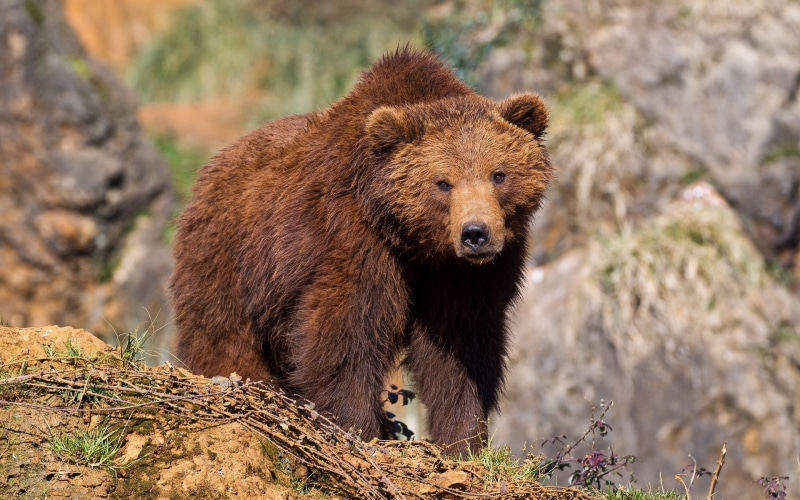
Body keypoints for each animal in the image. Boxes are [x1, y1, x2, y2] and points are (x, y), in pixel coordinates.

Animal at [170, 48, 554, 454]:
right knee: (222, 331)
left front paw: (463, 439)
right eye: (442, 183)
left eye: (499, 174)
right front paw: (359, 428)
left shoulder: (467, 274)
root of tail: (211, 167)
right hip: (230, 256)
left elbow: (460, 347)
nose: (476, 234)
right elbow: (346, 333)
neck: (416, 243)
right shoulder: (352, 238)